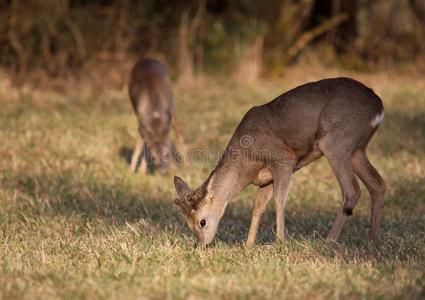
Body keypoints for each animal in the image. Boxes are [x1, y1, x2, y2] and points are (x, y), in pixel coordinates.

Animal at [174, 77, 386, 248]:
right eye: (187, 224)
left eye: (202, 222)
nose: (201, 245)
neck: (246, 163)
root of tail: (378, 107)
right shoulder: (266, 178)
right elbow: (258, 205)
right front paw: (248, 244)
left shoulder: (284, 158)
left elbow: (279, 200)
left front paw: (280, 242)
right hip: (357, 150)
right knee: (378, 185)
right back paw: (372, 242)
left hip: (335, 142)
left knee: (352, 190)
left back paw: (328, 242)